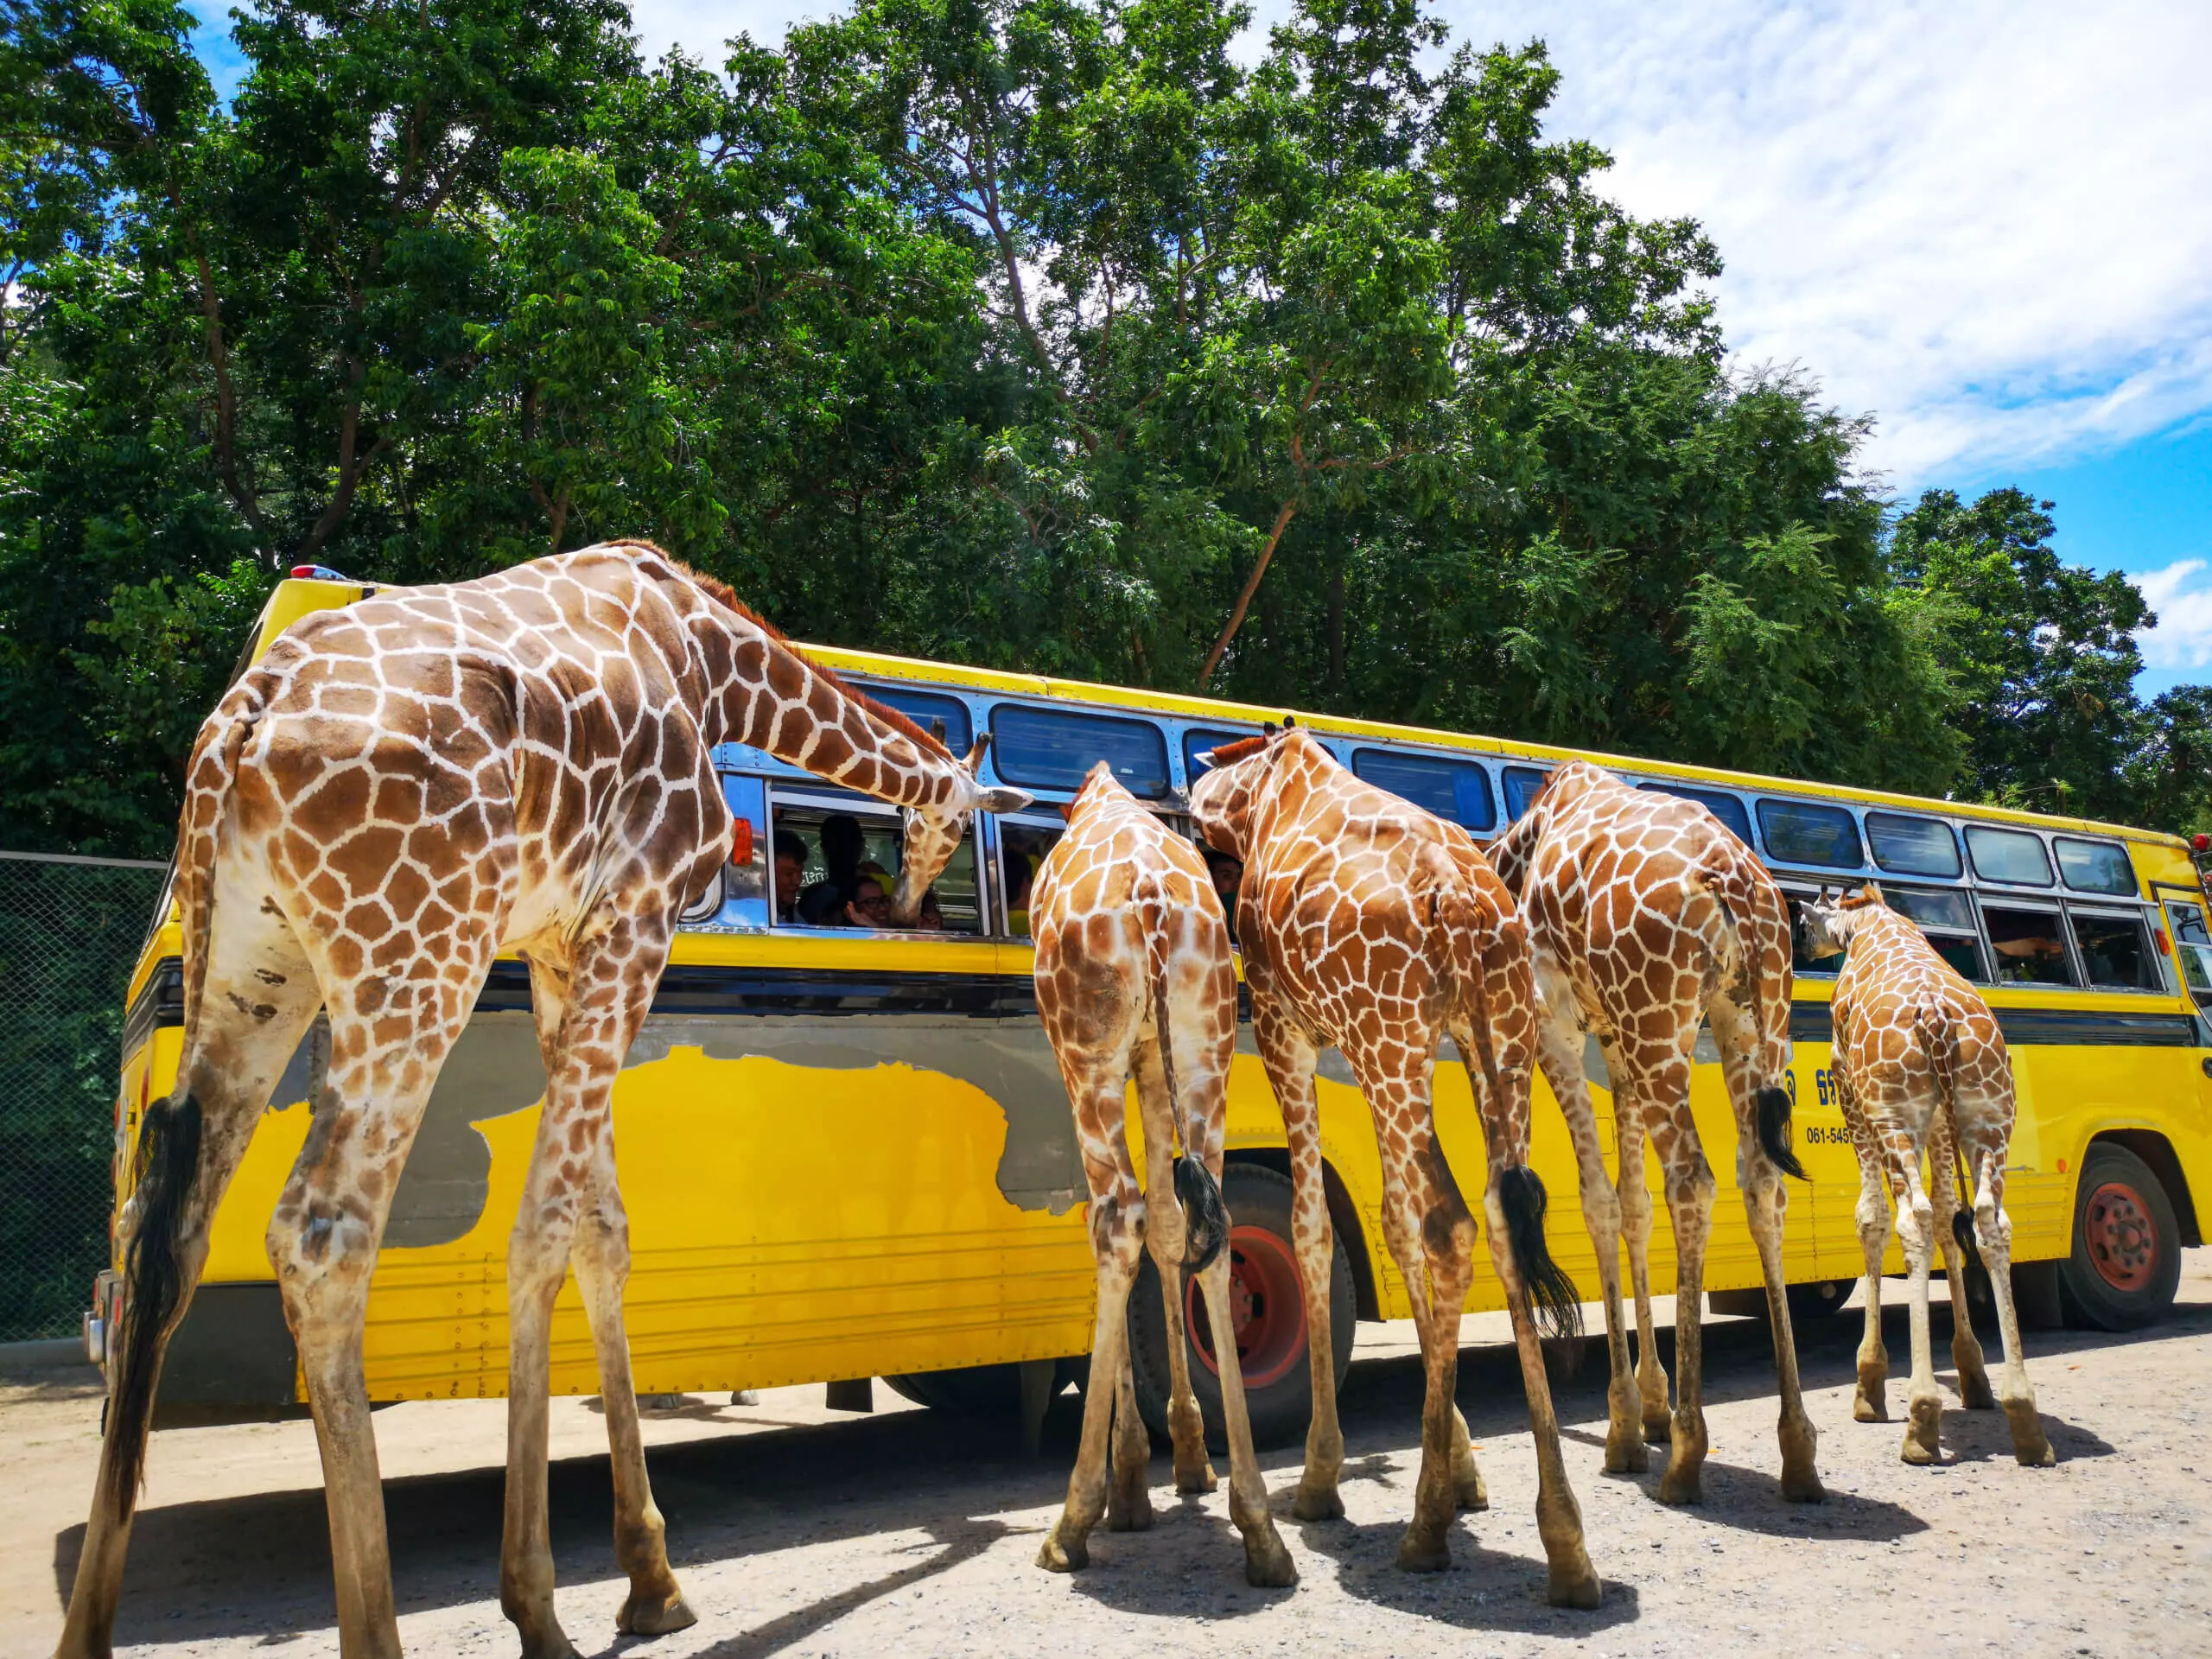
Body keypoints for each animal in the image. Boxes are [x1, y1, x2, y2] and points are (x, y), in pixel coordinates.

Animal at [55, 539, 1030, 1654]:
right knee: (320, 1230)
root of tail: (240, 724)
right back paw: (381, 1627)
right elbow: (544, 1229)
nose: (910, 905)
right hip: (417, 957)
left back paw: (87, 1627)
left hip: (254, 964)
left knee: (167, 1235)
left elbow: (602, 1231)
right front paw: (538, 1600)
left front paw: (650, 1575)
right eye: (931, 829)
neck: (719, 662)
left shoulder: (563, 949)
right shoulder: (637, 917)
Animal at [1030, 765, 1292, 1583]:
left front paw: (1132, 1482)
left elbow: (1116, 1219)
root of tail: (1147, 900)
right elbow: (1172, 1222)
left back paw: (1071, 1523)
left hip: (1089, 1052)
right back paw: (1260, 1527)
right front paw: (1187, 1457)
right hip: (1207, 1041)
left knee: (1117, 1221)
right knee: (1211, 1226)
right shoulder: (1152, 1054)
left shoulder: (1104, 1057)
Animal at [1185, 725, 1601, 1610]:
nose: (1186, 808)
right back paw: (1565, 1543)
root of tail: (1462, 904)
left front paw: (1321, 1479)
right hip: (1494, 1037)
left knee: (1451, 1226)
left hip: (1396, 1039)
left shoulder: (1290, 1026)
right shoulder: (1362, 1046)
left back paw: (1425, 1531)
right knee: (1495, 1221)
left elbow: (1317, 1227)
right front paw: (1462, 1465)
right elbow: (1392, 1228)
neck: (1264, 794)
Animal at [1478, 760, 1822, 1513]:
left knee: (1693, 1179)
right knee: (1763, 1185)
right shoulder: (1615, 1041)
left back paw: (1687, 1457)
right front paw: (1653, 1402)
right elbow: (1635, 1205)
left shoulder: (1560, 1027)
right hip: (1744, 1019)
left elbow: (1600, 1202)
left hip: (1661, 1024)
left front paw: (1626, 1428)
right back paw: (1798, 1451)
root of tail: (1735, 881)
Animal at [1796, 889, 2052, 1478]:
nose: (1804, 946)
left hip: (1896, 1113)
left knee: (1911, 1219)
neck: (1864, 920)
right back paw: (2025, 1417)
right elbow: (1948, 1213)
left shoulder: (1851, 1090)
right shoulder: (1939, 1121)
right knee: (1990, 1223)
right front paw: (1973, 1372)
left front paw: (1869, 1384)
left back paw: (1921, 1419)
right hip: (1989, 1116)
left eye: (1802, 922)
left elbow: (1872, 1219)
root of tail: (1935, 1017)